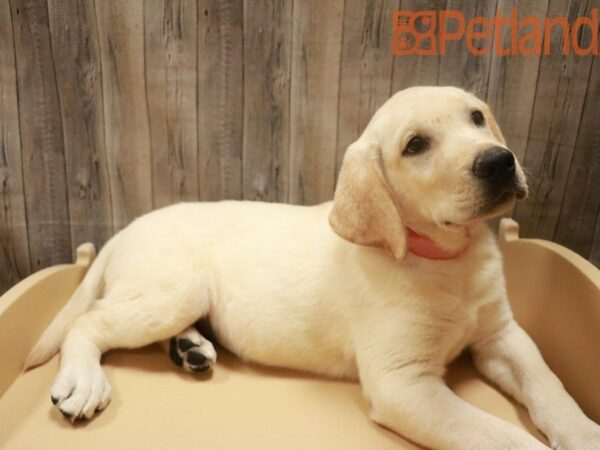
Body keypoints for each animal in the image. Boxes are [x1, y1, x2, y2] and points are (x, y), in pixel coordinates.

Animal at [25, 86, 596, 448]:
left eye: (477, 117)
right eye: (415, 145)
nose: (499, 160)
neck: (443, 259)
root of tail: (129, 227)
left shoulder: (503, 336)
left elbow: (551, 387)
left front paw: (585, 433)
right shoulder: (403, 384)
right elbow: (501, 436)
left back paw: (190, 348)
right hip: (175, 291)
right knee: (87, 322)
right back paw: (83, 380)